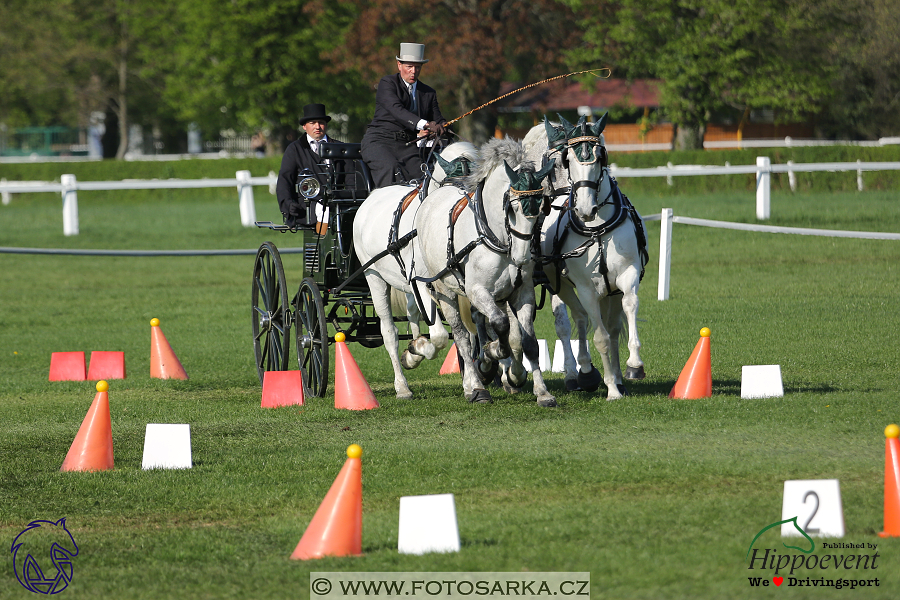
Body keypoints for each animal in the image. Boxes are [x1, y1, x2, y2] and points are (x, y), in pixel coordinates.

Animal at [354, 141, 478, 398]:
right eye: (455, 185)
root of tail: (371, 196)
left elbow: (466, 335)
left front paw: (470, 382)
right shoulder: (422, 281)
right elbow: (439, 336)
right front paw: (416, 351)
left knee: (413, 314)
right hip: (374, 278)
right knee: (389, 332)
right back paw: (402, 386)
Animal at [414, 138, 556, 406]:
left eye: (543, 207)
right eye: (511, 208)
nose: (522, 257)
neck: (496, 237)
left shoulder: (523, 293)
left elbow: (528, 342)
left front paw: (540, 390)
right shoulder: (477, 291)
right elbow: (500, 325)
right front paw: (491, 356)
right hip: (445, 292)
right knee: (461, 337)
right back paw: (475, 387)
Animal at [524, 115, 652, 400]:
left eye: (600, 156)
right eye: (567, 160)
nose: (584, 208)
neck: (597, 228)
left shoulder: (627, 275)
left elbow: (630, 308)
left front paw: (633, 364)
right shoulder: (585, 288)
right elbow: (598, 337)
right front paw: (610, 389)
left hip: (609, 291)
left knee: (612, 327)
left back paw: (617, 376)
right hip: (562, 286)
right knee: (578, 321)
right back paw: (583, 373)